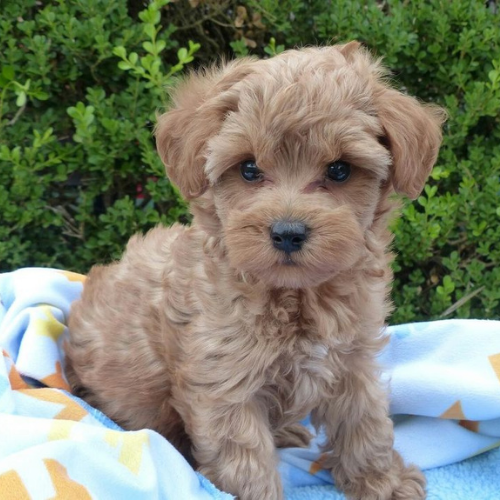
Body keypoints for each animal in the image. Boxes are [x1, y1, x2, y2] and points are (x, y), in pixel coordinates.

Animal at [63, 44, 446, 500]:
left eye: (339, 170)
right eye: (248, 169)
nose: (287, 232)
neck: (297, 297)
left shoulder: (353, 363)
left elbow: (365, 425)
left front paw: (383, 483)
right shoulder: (224, 384)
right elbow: (245, 463)